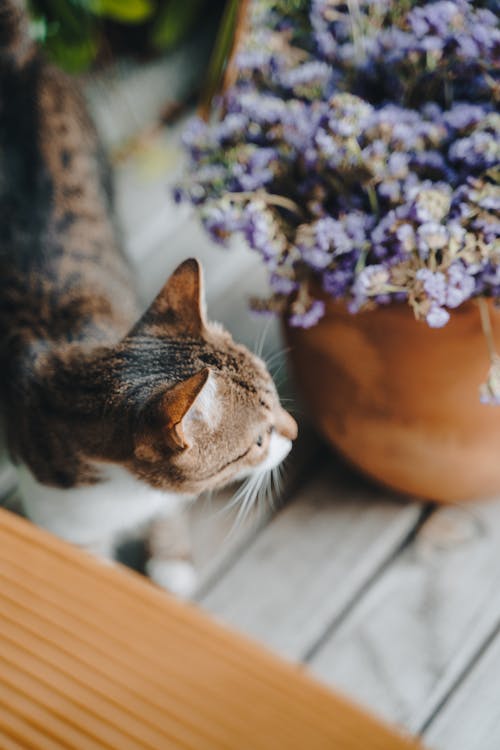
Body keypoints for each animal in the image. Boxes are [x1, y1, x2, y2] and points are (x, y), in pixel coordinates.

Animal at [0, 1, 296, 600]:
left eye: (279, 402)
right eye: (257, 441)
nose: (295, 432)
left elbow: (168, 514)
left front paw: (173, 563)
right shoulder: (67, 532)